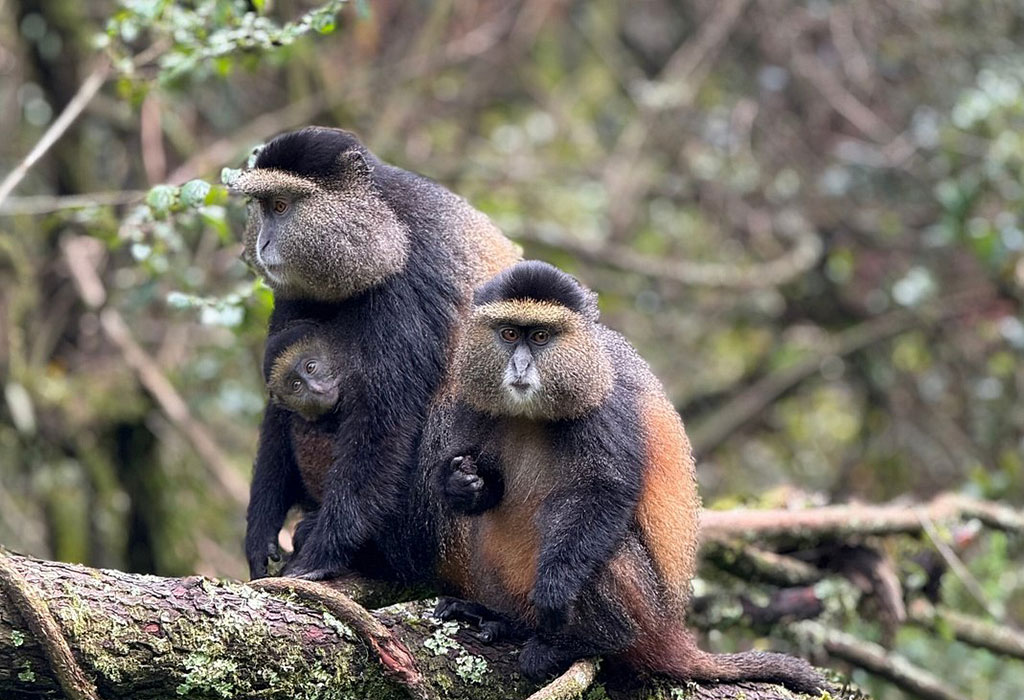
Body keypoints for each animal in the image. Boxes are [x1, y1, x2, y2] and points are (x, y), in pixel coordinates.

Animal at [231, 126, 521, 582]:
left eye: (281, 205)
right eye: (262, 207)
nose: (262, 243)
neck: (382, 226)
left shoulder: (409, 283)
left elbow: (384, 420)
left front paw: (320, 554)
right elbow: (279, 405)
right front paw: (260, 532)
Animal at [427, 261, 827, 694]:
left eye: (540, 336)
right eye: (509, 334)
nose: (519, 367)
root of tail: (669, 634)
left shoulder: (607, 401)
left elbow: (606, 490)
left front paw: (554, 589)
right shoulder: (471, 399)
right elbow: (486, 490)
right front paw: (463, 484)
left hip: (643, 611)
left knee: (593, 539)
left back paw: (582, 642)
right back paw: (504, 620)